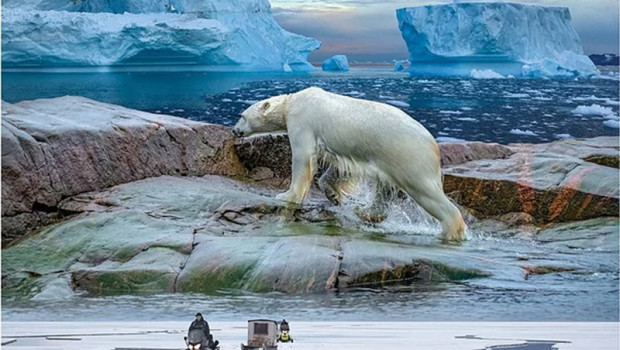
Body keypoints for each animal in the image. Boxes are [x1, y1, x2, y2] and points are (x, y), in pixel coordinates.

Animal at [231, 87, 464, 241]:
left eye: (242, 116)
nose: (234, 130)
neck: (292, 103)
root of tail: (434, 146)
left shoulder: (302, 121)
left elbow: (303, 158)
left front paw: (286, 195)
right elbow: (341, 169)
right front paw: (334, 195)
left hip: (408, 156)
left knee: (426, 192)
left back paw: (451, 231)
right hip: (388, 156)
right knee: (384, 188)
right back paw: (364, 212)